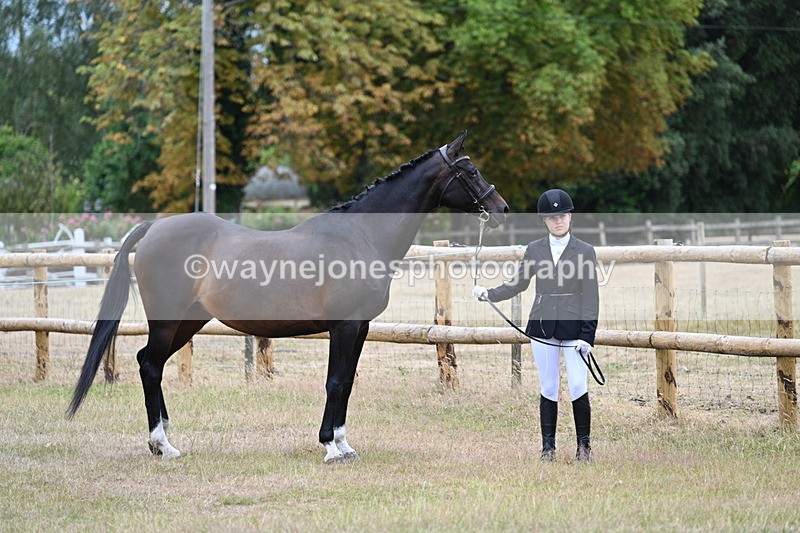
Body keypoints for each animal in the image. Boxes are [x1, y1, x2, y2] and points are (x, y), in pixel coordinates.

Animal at [66, 131, 508, 463]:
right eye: (470, 170)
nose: (501, 207)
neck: (361, 236)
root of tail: (154, 229)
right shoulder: (344, 326)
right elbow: (335, 381)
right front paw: (331, 447)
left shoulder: (360, 327)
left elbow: (346, 383)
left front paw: (344, 444)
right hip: (167, 320)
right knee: (149, 365)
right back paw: (163, 445)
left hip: (188, 321)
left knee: (149, 363)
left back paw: (162, 444)